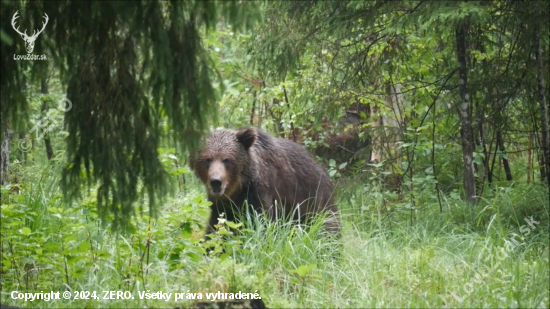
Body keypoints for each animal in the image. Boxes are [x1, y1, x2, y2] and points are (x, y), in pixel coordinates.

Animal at [190, 126, 340, 235]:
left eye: (227, 160)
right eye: (207, 159)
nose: (216, 181)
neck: (238, 188)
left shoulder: (261, 192)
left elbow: (260, 223)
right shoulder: (220, 204)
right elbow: (217, 225)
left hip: (314, 198)